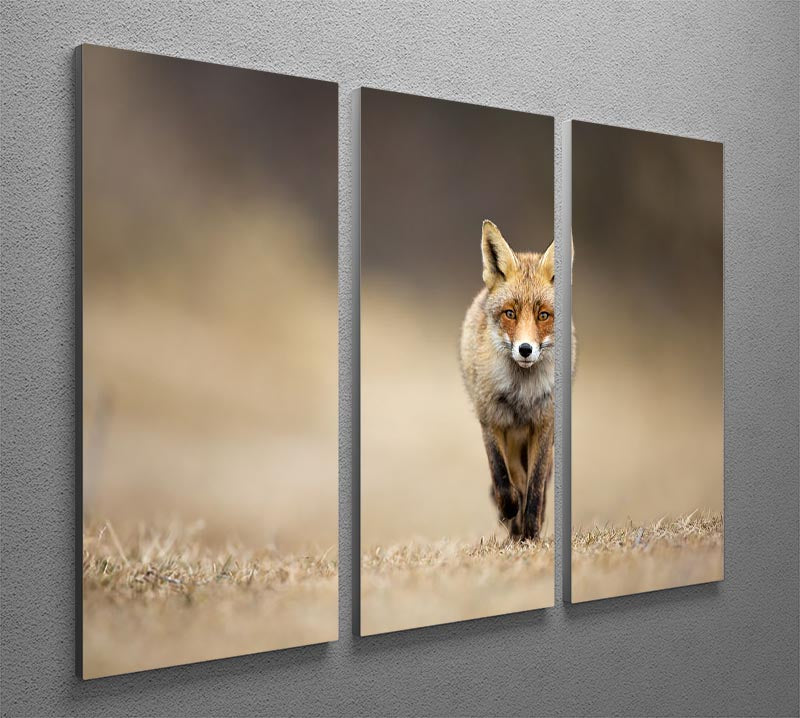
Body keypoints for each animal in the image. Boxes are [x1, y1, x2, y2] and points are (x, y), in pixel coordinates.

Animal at [459, 220, 574, 541]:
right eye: (510, 313)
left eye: (544, 315)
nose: (525, 349)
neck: (522, 393)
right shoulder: (492, 421)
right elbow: (501, 475)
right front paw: (510, 510)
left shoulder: (544, 424)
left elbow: (535, 487)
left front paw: (532, 531)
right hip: (510, 435)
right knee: (513, 476)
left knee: (536, 482)